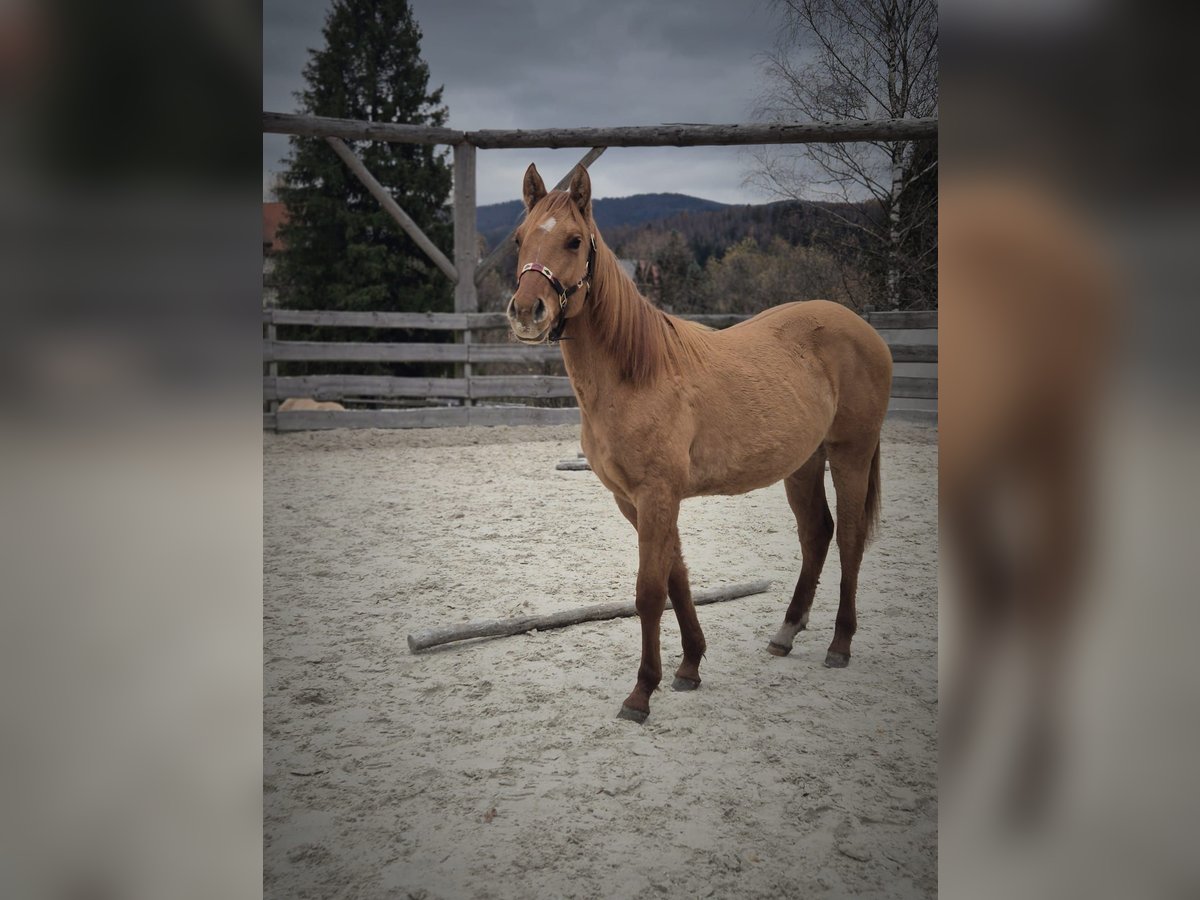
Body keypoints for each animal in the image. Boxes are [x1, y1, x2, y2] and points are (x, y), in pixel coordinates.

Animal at [506, 163, 893, 723]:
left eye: (574, 241)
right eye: (520, 238)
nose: (526, 312)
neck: (637, 372)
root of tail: (866, 330)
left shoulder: (657, 495)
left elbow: (649, 591)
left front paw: (642, 692)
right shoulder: (633, 501)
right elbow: (676, 576)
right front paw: (689, 666)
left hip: (851, 455)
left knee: (850, 538)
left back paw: (840, 645)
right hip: (803, 463)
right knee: (816, 534)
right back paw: (786, 632)